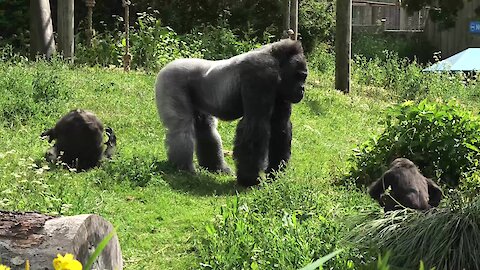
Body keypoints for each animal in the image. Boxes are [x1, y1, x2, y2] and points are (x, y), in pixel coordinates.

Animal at [156, 39, 310, 187]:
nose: (302, 89)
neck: (277, 62)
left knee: (205, 128)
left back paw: (216, 167)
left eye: (303, 77)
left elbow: (280, 126)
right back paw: (183, 168)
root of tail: (168, 65)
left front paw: (275, 174)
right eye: (299, 76)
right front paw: (249, 179)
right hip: (170, 79)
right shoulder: (262, 74)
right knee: (181, 126)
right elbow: (255, 125)